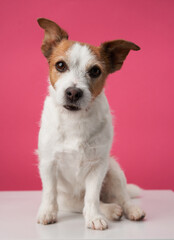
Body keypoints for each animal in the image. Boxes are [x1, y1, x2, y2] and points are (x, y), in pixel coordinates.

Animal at [36, 17, 145, 230]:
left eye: (95, 70)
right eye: (60, 65)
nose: (73, 92)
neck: (75, 120)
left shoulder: (98, 167)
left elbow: (92, 196)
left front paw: (94, 217)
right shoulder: (48, 163)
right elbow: (50, 193)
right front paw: (47, 212)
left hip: (114, 171)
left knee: (121, 197)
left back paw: (130, 210)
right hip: (69, 199)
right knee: (85, 203)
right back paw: (112, 210)